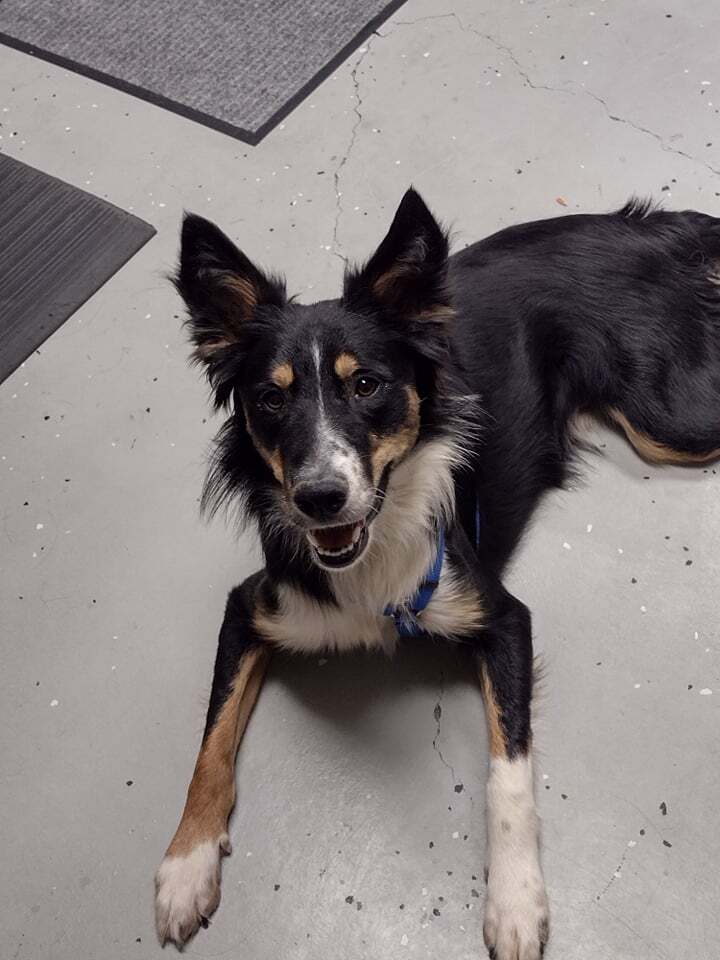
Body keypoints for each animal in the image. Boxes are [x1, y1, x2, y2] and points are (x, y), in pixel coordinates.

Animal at [153, 191, 720, 956]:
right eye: (270, 400)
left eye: (366, 385)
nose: (320, 498)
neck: (373, 549)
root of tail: (650, 226)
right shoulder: (252, 607)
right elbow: (209, 744)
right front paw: (186, 864)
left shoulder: (501, 615)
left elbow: (507, 772)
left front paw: (516, 902)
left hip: (669, 422)